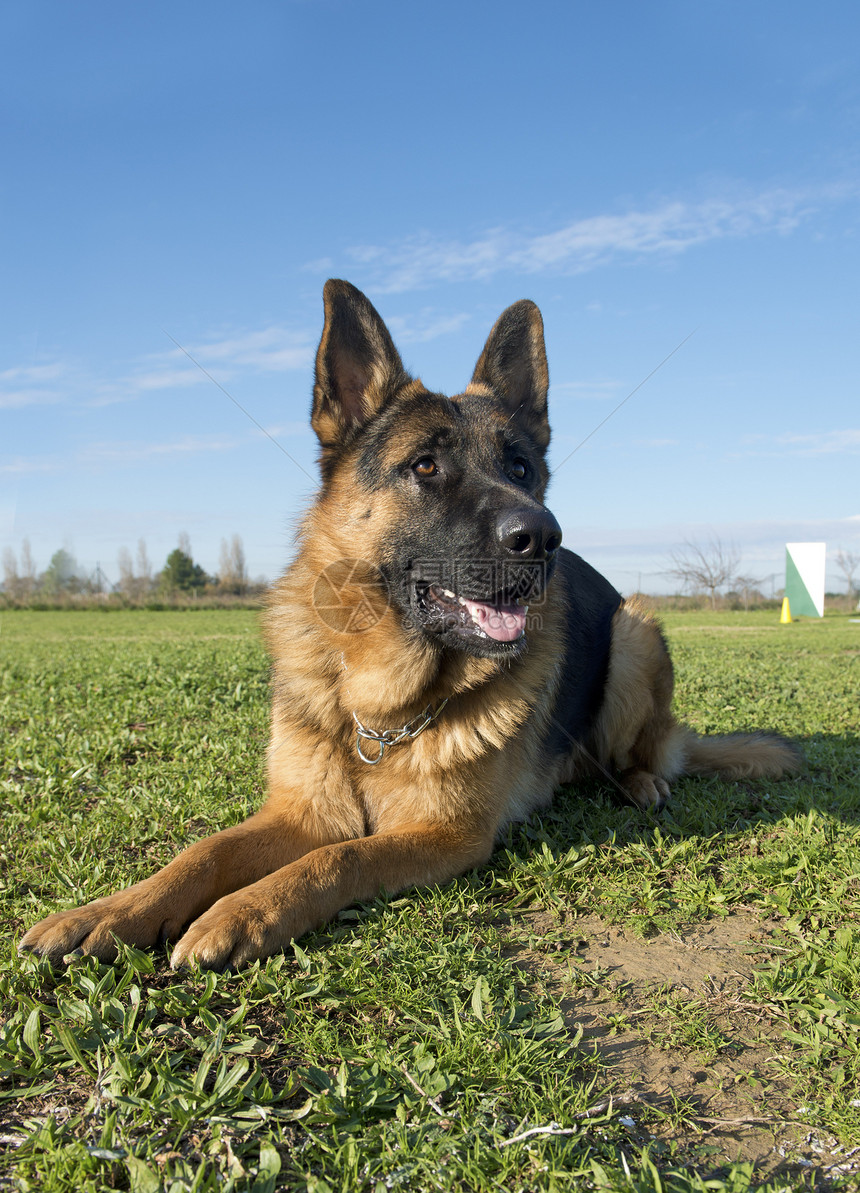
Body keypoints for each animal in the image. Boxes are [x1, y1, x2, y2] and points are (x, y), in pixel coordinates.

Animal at [20, 279, 796, 968]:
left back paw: (639, 781)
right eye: (424, 466)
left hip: (637, 630)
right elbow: (202, 850)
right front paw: (110, 911)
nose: (544, 536)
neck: (379, 709)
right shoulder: (298, 812)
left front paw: (242, 912)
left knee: (643, 752)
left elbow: (338, 858)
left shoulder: (445, 834)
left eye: (521, 467)